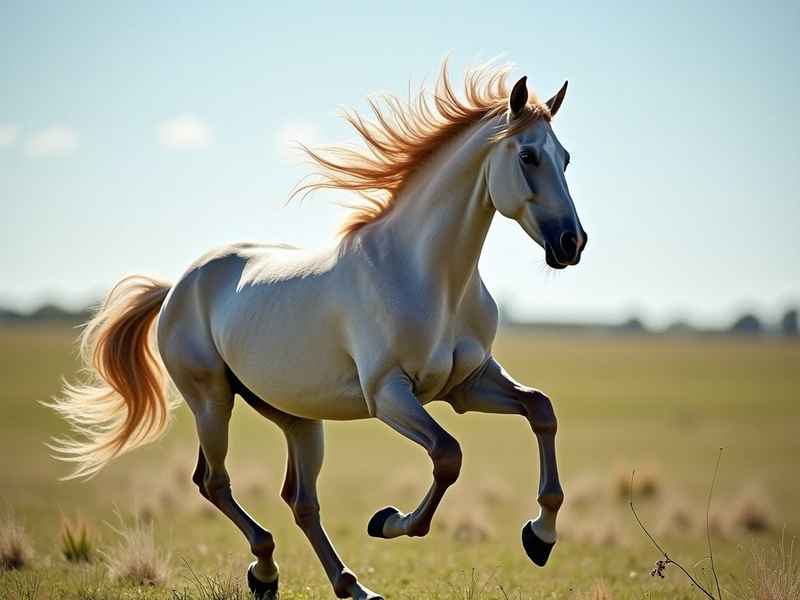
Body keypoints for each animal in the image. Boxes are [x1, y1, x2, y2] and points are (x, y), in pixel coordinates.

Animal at [50, 62, 587, 600]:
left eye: (565, 157)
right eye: (528, 155)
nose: (572, 243)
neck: (427, 277)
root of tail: (178, 285)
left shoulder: (467, 384)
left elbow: (541, 410)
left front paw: (539, 537)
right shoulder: (389, 394)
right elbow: (448, 455)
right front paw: (387, 521)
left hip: (297, 417)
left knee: (299, 499)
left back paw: (346, 585)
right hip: (211, 401)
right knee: (214, 482)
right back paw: (269, 569)